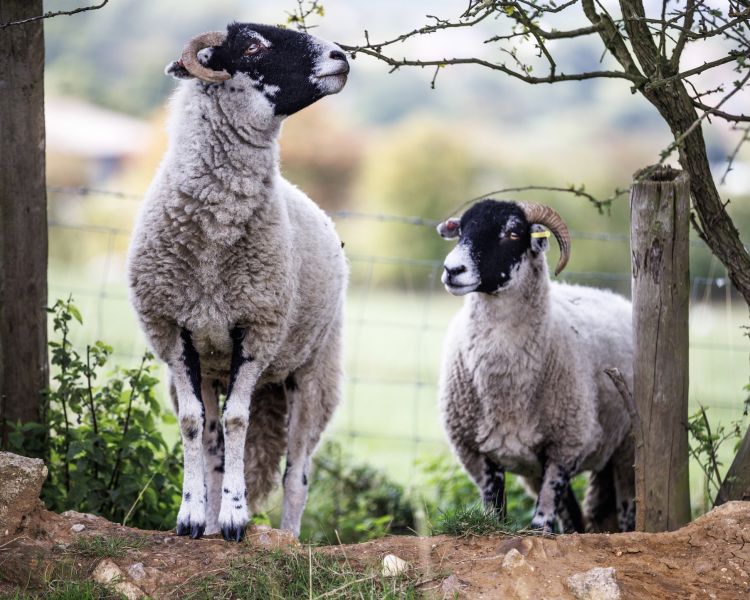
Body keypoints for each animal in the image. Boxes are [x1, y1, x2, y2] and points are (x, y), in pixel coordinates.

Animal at [127, 23, 350, 542]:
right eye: (252, 46)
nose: (342, 56)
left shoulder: (257, 329)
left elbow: (237, 420)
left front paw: (235, 517)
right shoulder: (175, 334)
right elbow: (193, 425)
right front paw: (192, 518)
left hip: (313, 373)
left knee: (297, 475)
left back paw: (289, 536)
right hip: (213, 368)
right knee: (212, 451)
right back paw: (208, 524)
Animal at [436, 199, 635, 533]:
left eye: (514, 233)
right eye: (461, 230)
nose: (452, 270)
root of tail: (616, 298)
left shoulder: (566, 444)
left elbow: (543, 517)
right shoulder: (478, 453)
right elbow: (495, 512)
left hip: (627, 447)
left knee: (627, 510)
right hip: (536, 468)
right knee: (573, 517)